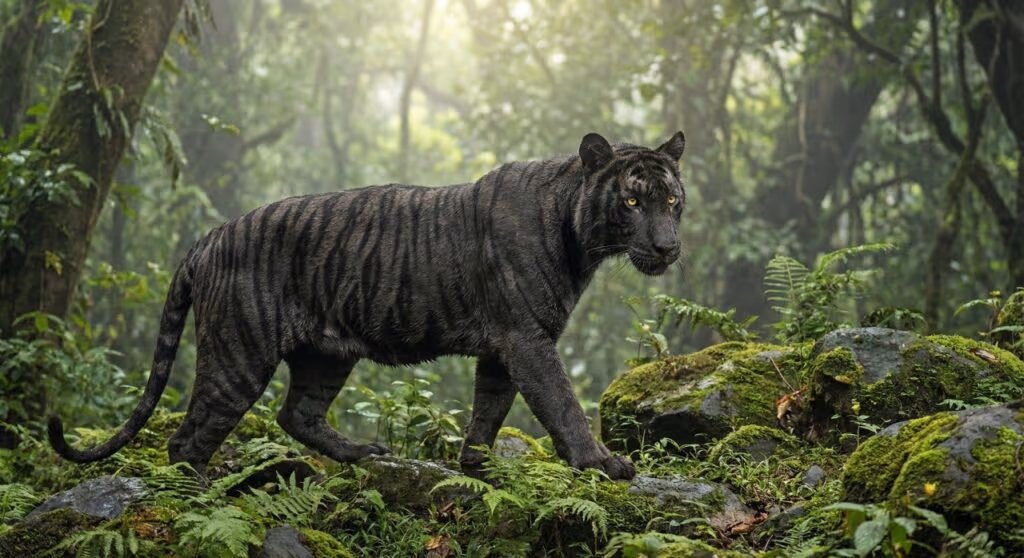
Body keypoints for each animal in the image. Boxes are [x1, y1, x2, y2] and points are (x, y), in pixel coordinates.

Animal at [49, 131, 687, 481]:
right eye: (633, 201)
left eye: (673, 201)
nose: (667, 247)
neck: (581, 239)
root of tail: (211, 235)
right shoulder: (528, 341)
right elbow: (561, 405)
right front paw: (601, 464)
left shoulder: (505, 348)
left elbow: (488, 411)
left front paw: (477, 470)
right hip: (238, 356)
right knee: (187, 441)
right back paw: (198, 495)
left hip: (325, 355)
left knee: (296, 415)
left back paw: (360, 451)